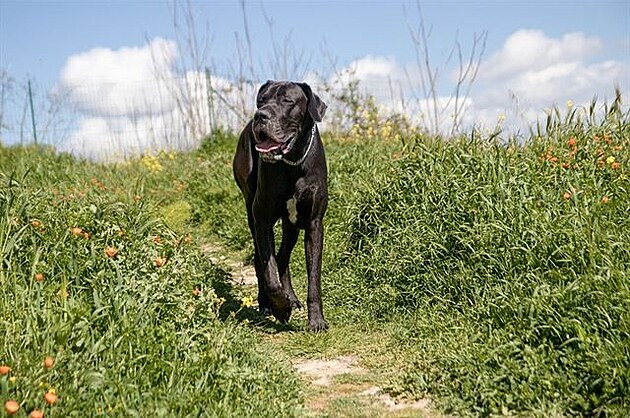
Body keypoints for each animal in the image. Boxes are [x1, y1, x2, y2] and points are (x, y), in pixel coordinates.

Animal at [233, 80, 330, 332]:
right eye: (261, 100)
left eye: (287, 101)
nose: (260, 116)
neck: (292, 162)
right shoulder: (263, 220)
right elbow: (270, 273)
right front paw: (280, 308)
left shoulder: (314, 223)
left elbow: (313, 277)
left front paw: (316, 320)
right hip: (251, 212)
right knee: (262, 261)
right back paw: (267, 304)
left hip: (292, 224)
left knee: (283, 257)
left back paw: (292, 298)